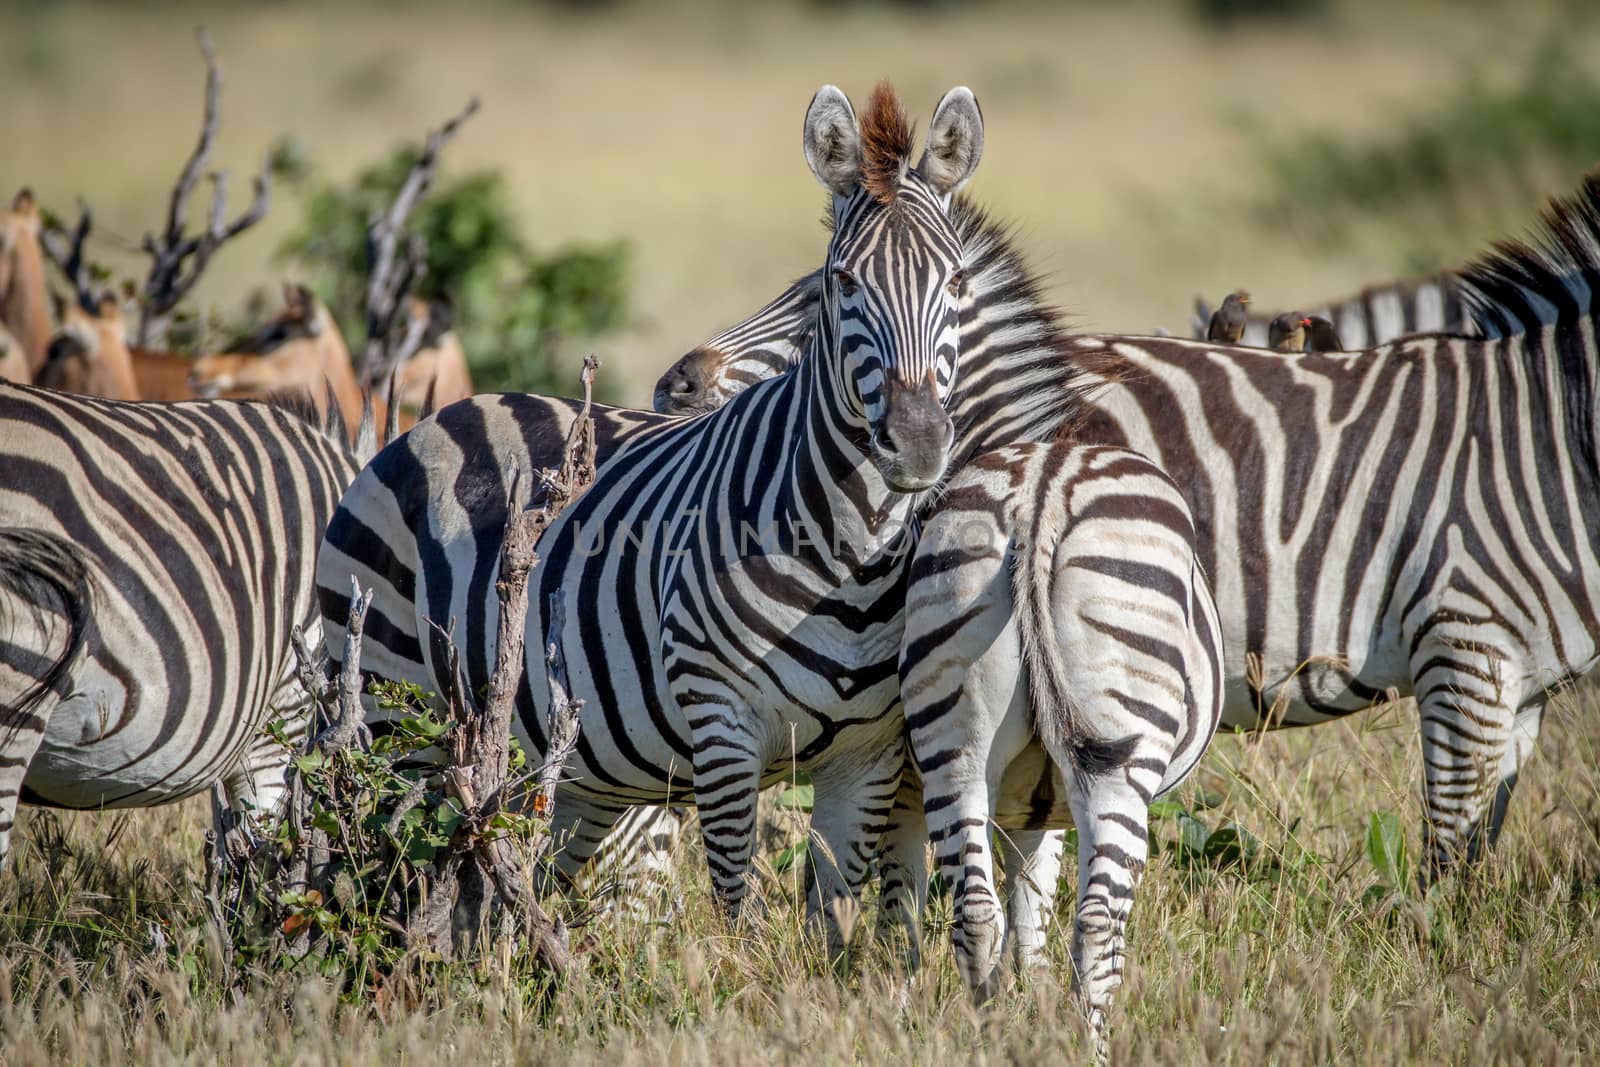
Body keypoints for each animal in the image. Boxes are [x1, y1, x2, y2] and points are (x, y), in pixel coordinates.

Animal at [656, 171, 1600, 883]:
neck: (1552, 433)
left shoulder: (1500, 679)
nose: (675, 384)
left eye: (821, 296)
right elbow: (1450, 864)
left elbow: (1467, 856)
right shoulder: (1465, 650)